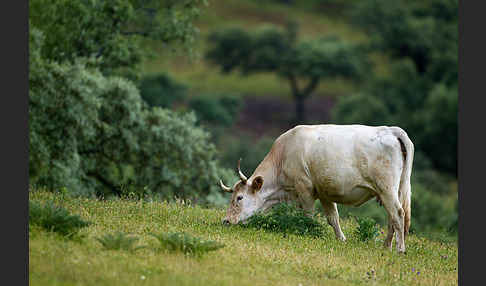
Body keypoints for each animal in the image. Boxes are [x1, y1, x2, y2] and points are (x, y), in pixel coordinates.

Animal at [220, 124, 414, 254]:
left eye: (239, 197)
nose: (226, 221)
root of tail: (391, 130)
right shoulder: (324, 192)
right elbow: (333, 218)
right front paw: (341, 239)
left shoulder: (304, 188)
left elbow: (309, 215)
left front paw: (310, 232)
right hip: (394, 190)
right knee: (392, 217)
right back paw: (386, 246)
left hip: (386, 188)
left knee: (398, 214)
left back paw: (399, 249)